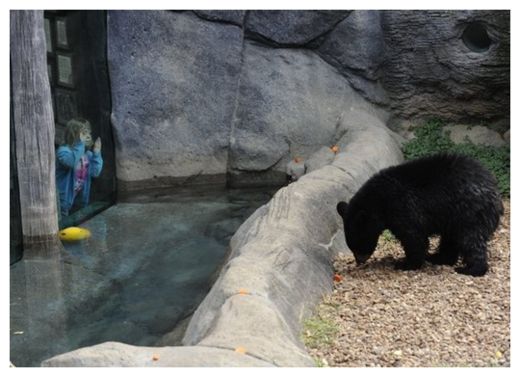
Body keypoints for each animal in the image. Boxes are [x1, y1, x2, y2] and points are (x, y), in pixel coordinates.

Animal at [338, 153, 504, 276]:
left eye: (358, 244)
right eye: (352, 246)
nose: (359, 261)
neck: (380, 201)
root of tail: (494, 190)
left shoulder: (403, 207)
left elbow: (413, 237)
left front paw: (405, 263)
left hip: (469, 212)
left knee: (470, 239)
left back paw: (470, 269)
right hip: (453, 217)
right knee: (450, 239)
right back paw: (438, 258)